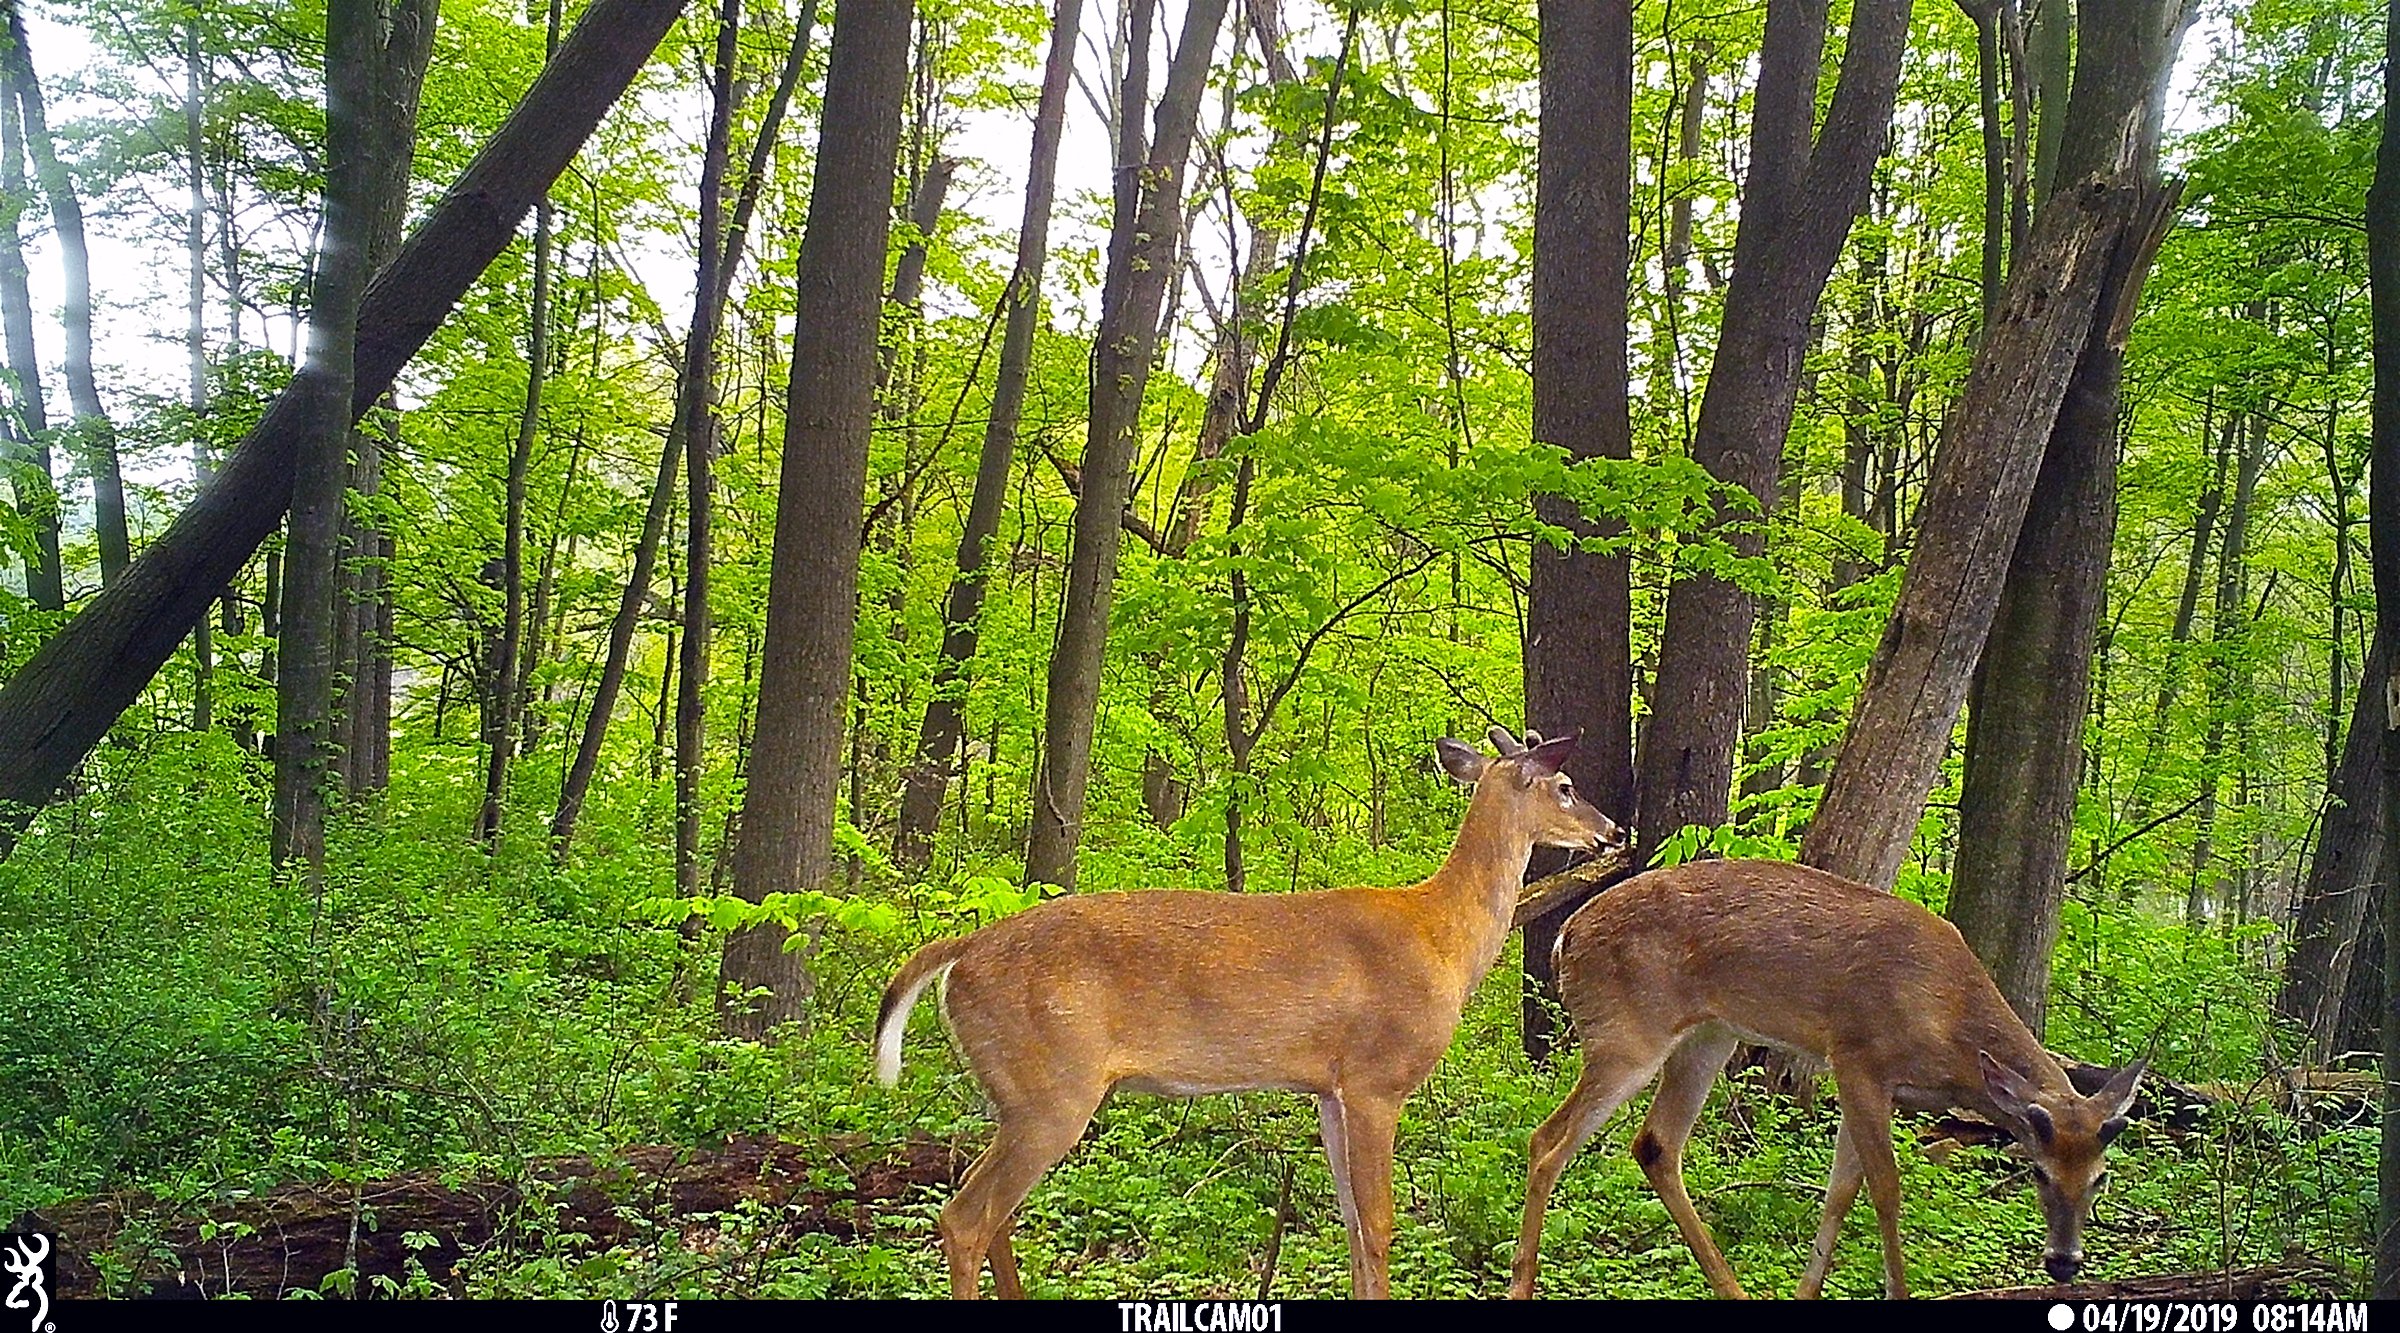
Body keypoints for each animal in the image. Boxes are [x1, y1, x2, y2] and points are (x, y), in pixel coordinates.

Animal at [874, 728, 1624, 1298]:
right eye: (1565, 786)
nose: (1615, 830)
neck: (1441, 933)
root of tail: (963, 951)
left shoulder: (1329, 1087)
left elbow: (1351, 1224)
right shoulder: (1377, 1078)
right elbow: (1380, 1223)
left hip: (1013, 1092)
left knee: (991, 1210)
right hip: (1051, 1088)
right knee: (965, 1217)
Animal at [1507, 858, 2147, 1300]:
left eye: (2101, 1177)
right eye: (2036, 1171)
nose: (2064, 1262)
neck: (1947, 1022)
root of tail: (1565, 937)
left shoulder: (1880, 1085)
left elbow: (1840, 1191)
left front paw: (1806, 1292)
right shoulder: (1858, 1057)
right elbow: (1885, 1189)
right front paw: (1897, 1291)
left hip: (1709, 1036)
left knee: (1655, 1144)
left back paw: (1733, 1289)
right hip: (1627, 1035)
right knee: (1546, 1141)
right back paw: (1522, 1283)